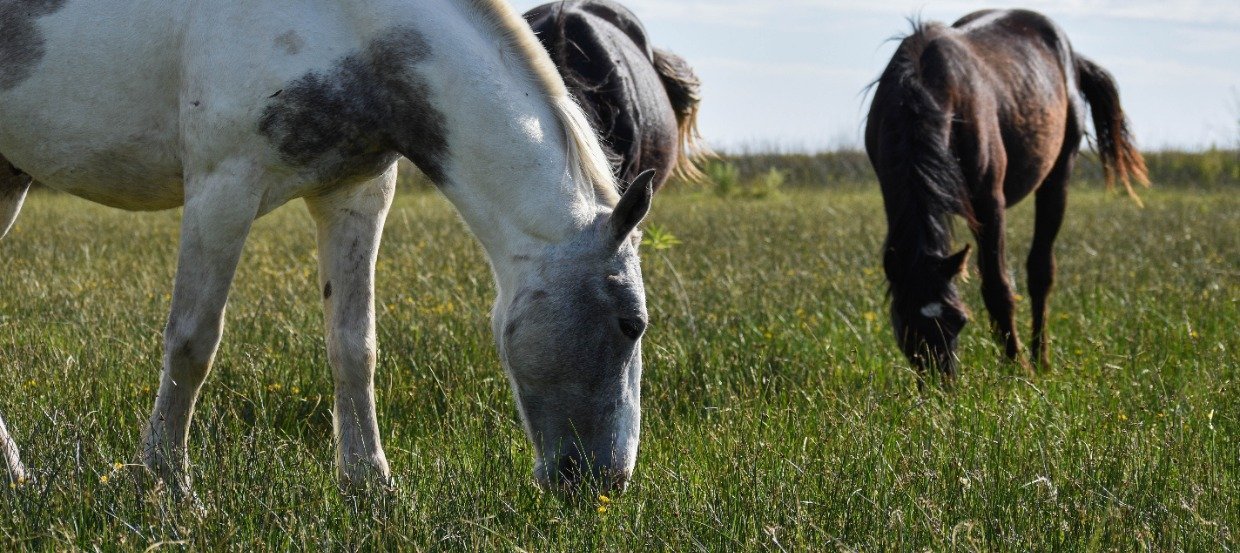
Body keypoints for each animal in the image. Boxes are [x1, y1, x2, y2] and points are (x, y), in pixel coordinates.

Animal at [0, 0, 659, 493]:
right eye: (632, 324)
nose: (607, 482)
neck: (353, 27)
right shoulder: (223, 188)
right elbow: (192, 342)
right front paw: (167, 485)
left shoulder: (355, 194)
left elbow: (354, 347)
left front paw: (370, 485)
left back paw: (16, 476)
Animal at [868, 9, 1145, 379]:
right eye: (906, 326)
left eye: (959, 320)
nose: (943, 385)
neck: (923, 93)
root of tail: (1072, 57)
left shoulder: (988, 201)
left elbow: (997, 287)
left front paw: (1019, 368)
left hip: (1057, 177)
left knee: (1040, 271)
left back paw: (1041, 359)